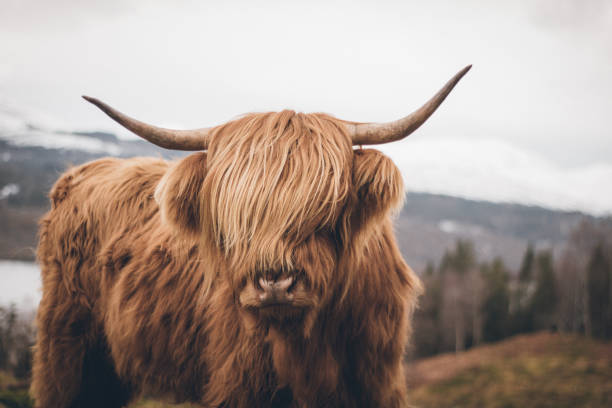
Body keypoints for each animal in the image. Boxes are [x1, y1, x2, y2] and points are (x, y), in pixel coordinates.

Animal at [31, 65, 470, 406]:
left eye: (326, 210)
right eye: (234, 220)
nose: (274, 283)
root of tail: (82, 173)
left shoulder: (377, 383)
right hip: (67, 349)